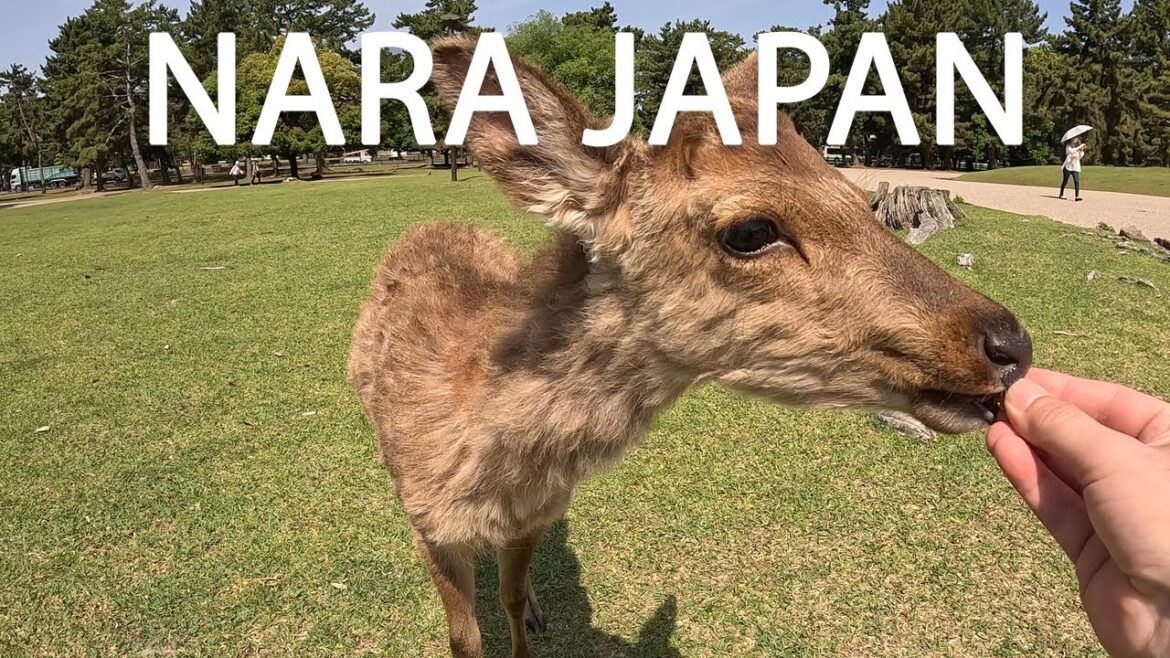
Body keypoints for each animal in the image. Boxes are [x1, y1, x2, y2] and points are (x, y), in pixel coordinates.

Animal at [348, 36, 1033, 658]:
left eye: (863, 200)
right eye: (751, 230)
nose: (1011, 344)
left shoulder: (538, 513)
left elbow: (512, 599)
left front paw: (531, 612)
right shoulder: (428, 524)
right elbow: (464, 639)